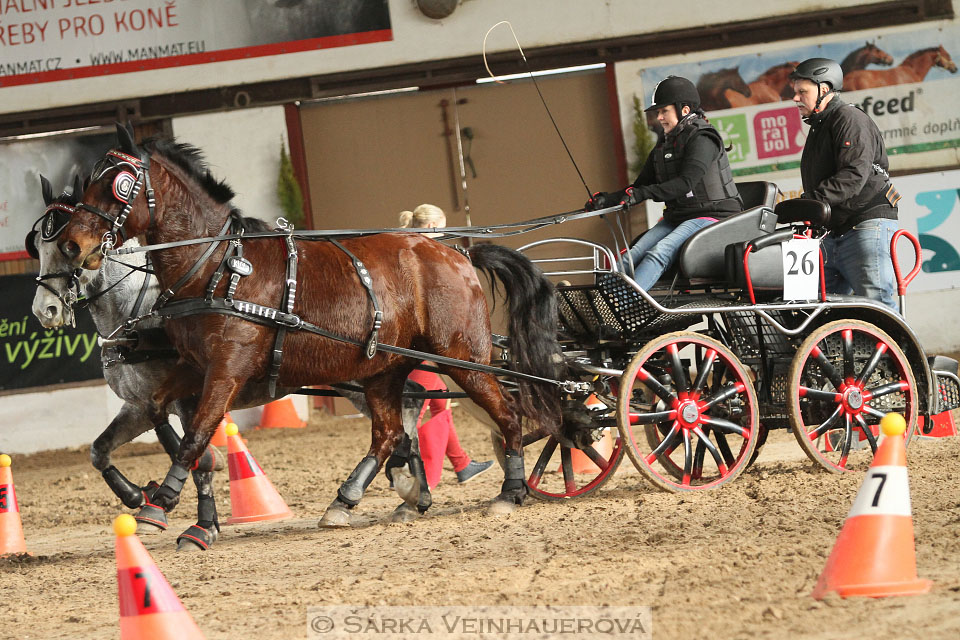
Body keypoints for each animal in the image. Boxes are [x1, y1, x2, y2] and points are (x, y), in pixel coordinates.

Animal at [29, 176, 428, 552]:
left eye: (65, 246)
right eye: (36, 246)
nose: (44, 311)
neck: (135, 316)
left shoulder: (185, 398)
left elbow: (194, 455)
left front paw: (188, 514)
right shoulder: (140, 404)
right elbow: (100, 450)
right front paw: (142, 496)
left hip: (359, 378)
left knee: (407, 407)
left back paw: (404, 486)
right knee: (407, 405)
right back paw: (412, 492)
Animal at [56, 124, 564, 524]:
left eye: (119, 185)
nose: (71, 246)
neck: (218, 268)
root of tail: (456, 251)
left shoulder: (227, 370)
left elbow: (196, 433)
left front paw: (159, 504)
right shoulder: (191, 367)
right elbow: (162, 413)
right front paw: (156, 494)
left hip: (461, 358)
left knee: (507, 411)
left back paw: (510, 491)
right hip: (383, 369)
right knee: (389, 433)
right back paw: (351, 500)